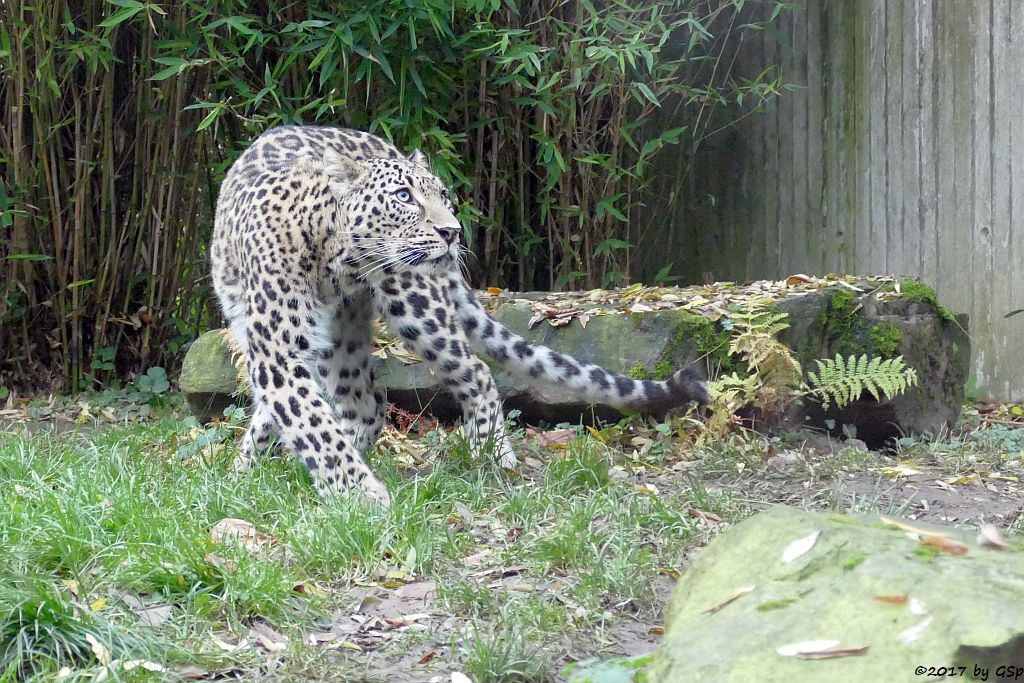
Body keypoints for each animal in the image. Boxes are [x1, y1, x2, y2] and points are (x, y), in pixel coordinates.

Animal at [211, 124, 708, 507]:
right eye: (403, 196)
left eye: (442, 195)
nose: (452, 231)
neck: (335, 261)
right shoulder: (277, 353)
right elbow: (307, 418)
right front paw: (330, 484)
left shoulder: (281, 355)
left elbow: (311, 423)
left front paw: (358, 496)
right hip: (342, 338)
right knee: (366, 399)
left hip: (413, 305)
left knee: (473, 373)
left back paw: (490, 455)